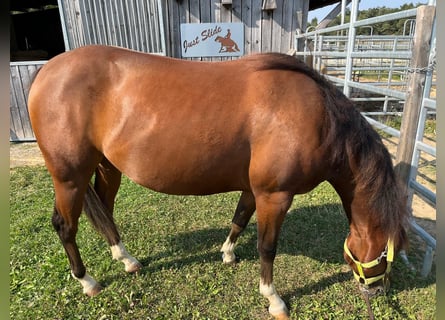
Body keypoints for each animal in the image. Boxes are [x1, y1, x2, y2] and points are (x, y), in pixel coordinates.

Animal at [28, 45, 406, 320]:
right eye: (389, 254)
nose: (379, 292)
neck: (318, 117)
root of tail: (47, 70)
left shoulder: (255, 190)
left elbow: (239, 218)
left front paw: (227, 253)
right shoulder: (276, 195)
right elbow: (267, 247)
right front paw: (273, 299)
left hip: (107, 167)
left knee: (105, 213)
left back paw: (126, 259)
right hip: (69, 176)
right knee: (64, 226)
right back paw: (87, 281)